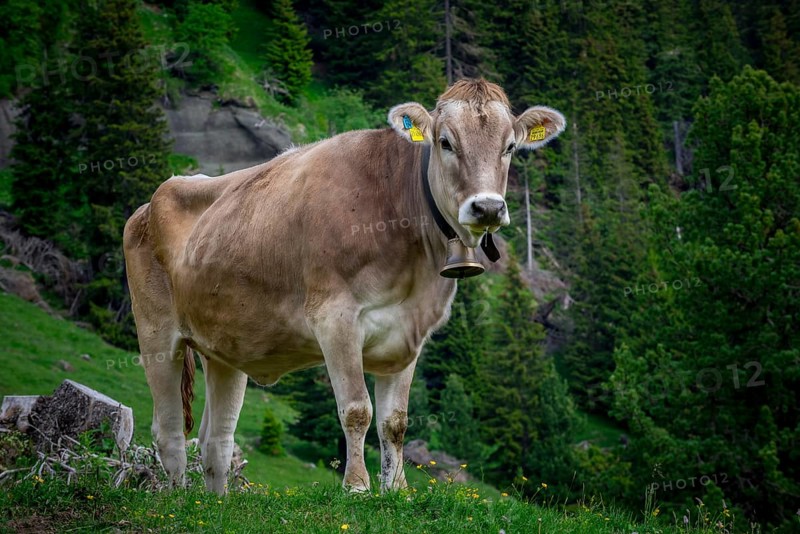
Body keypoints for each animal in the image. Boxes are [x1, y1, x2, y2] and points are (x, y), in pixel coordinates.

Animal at [123, 79, 565, 495]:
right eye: (445, 142)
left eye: (510, 146)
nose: (487, 207)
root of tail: (151, 200)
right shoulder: (335, 318)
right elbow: (357, 410)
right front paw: (357, 486)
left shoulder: (410, 333)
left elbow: (395, 422)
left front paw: (397, 490)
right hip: (157, 335)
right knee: (169, 433)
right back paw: (178, 500)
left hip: (224, 350)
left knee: (216, 440)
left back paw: (216, 505)